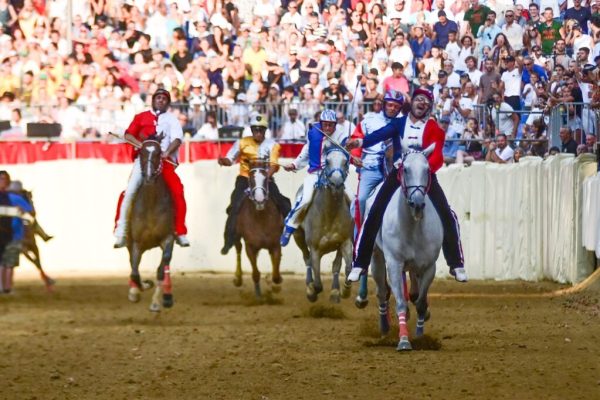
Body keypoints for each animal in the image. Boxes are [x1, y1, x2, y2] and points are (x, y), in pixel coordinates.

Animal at [126, 138, 175, 312]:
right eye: (141, 152)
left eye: (159, 153)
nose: (149, 177)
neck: (151, 203)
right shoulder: (136, 243)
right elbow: (134, 272)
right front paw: (139, 289)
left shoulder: (168, 238)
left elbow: (161, 269)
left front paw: (155, 303)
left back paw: (166, 297)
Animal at [233, 158, 284, 298]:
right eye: (250, 179)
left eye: (266, 178)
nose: (260, 199)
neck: (261, 218)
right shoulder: (250, 246)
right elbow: (255, 273)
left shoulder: (275, 244)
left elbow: (276, 273)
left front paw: (275, 285)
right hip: (237, 238)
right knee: (238, 249)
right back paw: (238, 279)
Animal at [292, 145, 354, 304]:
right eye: (327, 161)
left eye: (345, 162)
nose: (336, 183)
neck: (329, 214)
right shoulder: (315, 249)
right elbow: (318, 283)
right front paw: (312, 291)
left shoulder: (345, 242)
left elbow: (346, 268)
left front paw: (342, 291)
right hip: (298, 237)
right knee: (306, 259)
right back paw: (309, 288)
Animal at [368, 144, 442, 350]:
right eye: (406, 169)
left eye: (427, 170)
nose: (417, 203)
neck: (413, 228)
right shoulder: (394, 263)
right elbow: (400, 301)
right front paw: (403, 340)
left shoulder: (429, 266)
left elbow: (421, 302)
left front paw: (420, 337)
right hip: (377, 257)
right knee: (382, 292)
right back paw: (384, 327)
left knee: (413, 291)